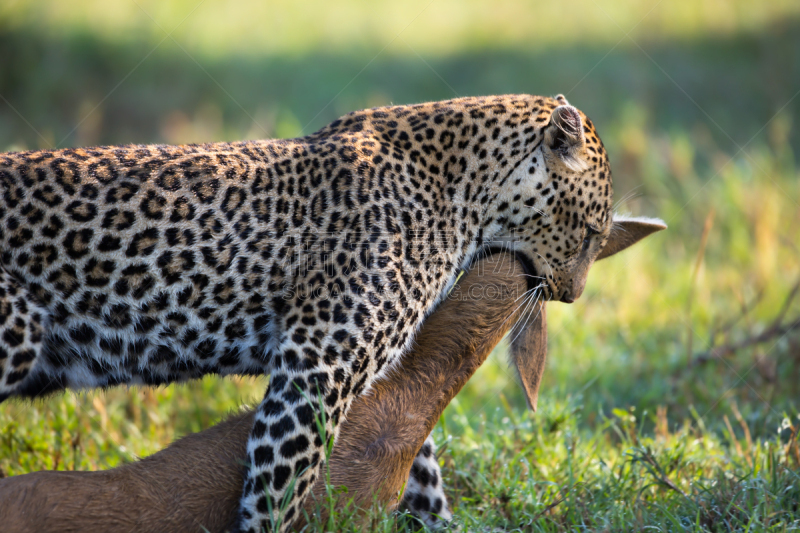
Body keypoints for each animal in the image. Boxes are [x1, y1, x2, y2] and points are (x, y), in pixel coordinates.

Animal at [0, 93, 648, 528]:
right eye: (591, 233)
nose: (573, 294)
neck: (465, 194)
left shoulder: (370, 371)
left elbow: (421, 466)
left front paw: (440, 521)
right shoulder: (314, 370)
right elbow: (274, 496)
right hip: (19, 332)